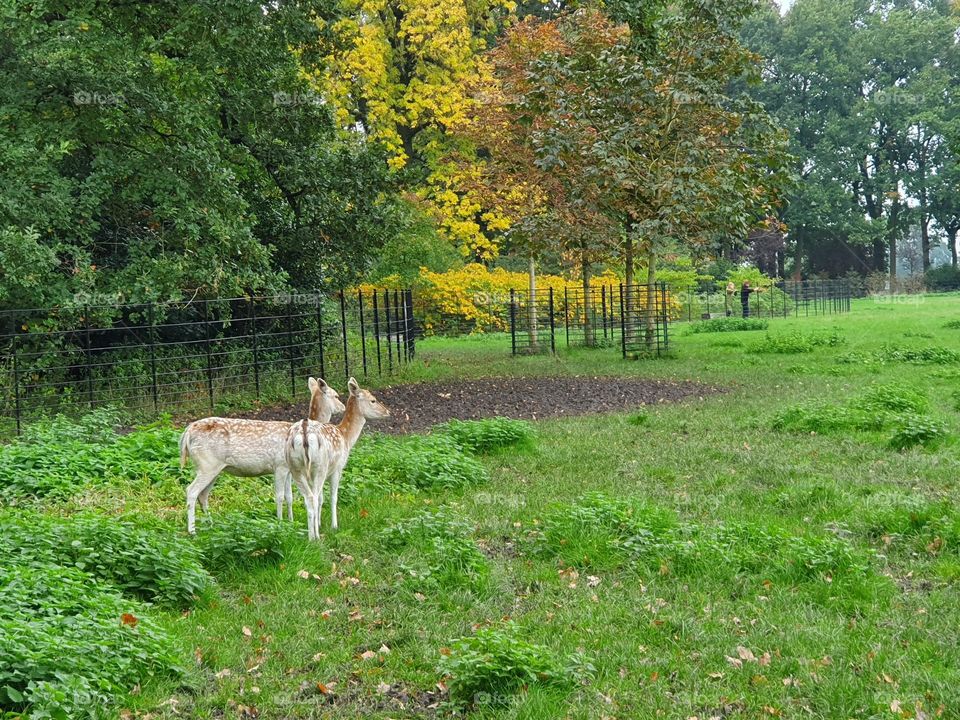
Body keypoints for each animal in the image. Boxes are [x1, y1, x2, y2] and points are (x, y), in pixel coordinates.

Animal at [180, 376, 344, 536]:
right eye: (336, 395)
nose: (342, 407)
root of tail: (187, 433)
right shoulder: (280, 465)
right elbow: (280, 496)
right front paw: (280, 523)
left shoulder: (289, 470)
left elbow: (289, 497)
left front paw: (291, 522)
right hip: (207, 464)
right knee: (191, 491)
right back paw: (192, 531)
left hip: (212, 468)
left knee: (203, 495)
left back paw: (211, 525)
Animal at [284, 376, 390, 540]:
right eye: (373, 400)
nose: (387, 411)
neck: (346, 437)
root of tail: (304, 433)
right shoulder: (338, 468)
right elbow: (333, 497)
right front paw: (334, 526)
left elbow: (322, 498)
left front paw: (320, 523)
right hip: (319, 466)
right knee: (312, 498)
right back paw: (316, 537)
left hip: (296, 468)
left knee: (308, 498)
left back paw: (309, 535)